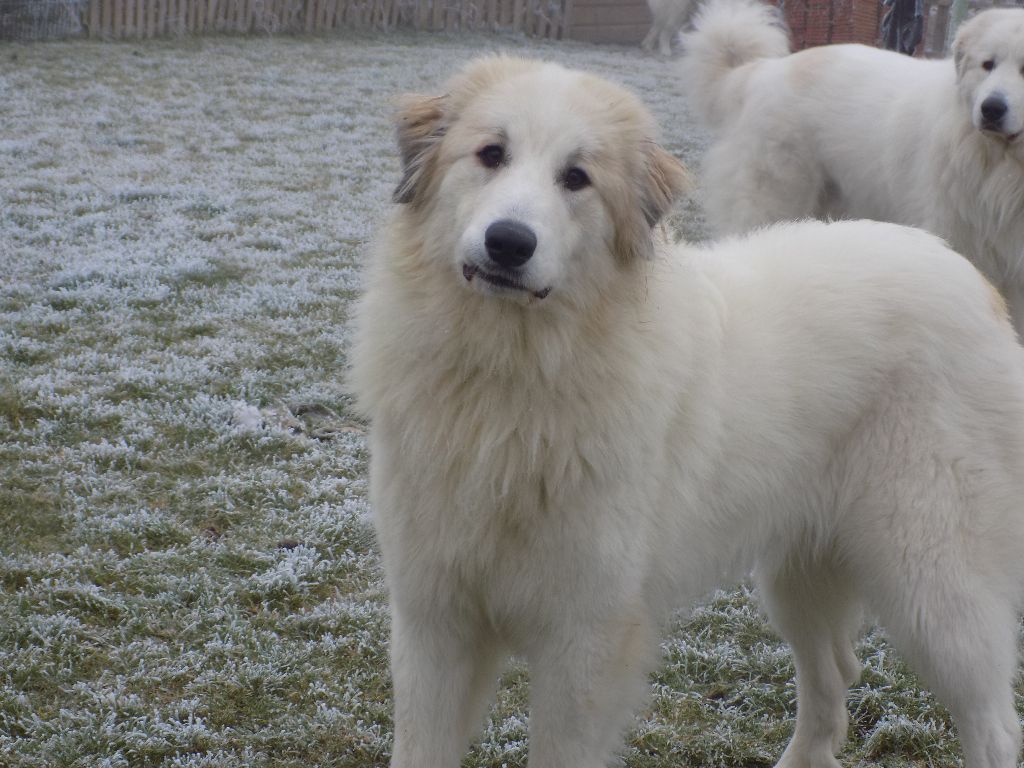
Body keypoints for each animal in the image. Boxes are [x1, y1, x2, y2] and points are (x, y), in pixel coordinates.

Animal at [349, 55, 1024, 768]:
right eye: (490, 154)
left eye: (576, 177)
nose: (508, 243)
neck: (509, 381)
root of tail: (974, 282)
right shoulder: (433, 622)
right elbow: (419, 746)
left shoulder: (582, 640)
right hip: (798, 578)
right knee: (831, 683)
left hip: (933, 588)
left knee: (992, 723)